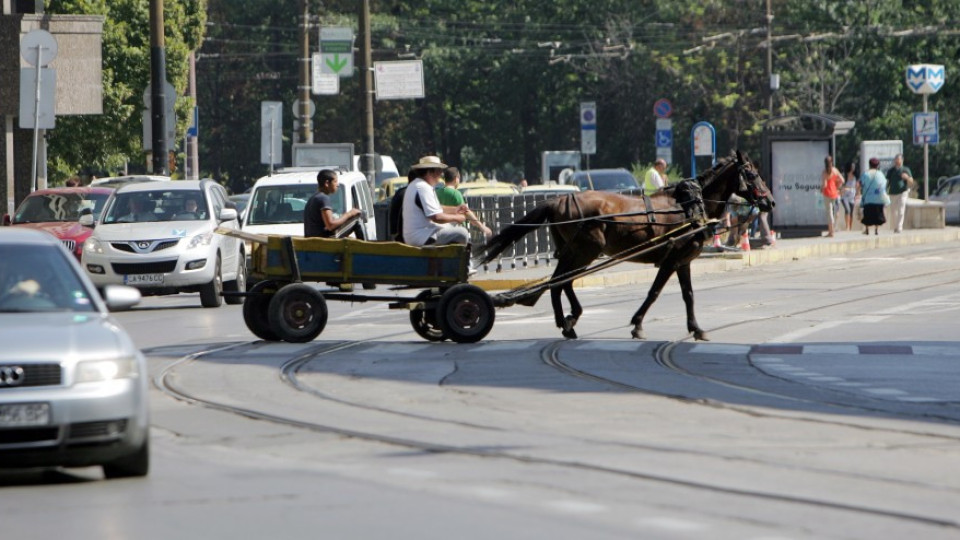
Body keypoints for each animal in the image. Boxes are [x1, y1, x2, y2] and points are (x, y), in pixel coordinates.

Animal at [478, 150, 772, 340]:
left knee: (560, 282)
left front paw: (696, 328)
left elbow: (688, 295)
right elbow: (654, 292)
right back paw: (568, 320)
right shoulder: (671, 259)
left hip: (575, 252)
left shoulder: (682, 261)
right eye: (751, 174)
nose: (770, 202)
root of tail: (559, 200)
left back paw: (568, 321)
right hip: (585, 251)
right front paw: (637, 324)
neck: (690, 206)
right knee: (560, 281)